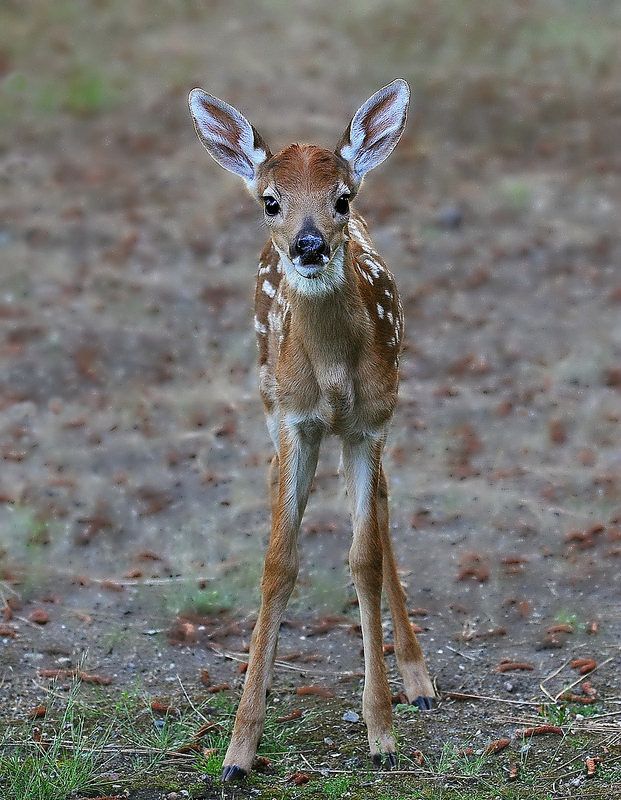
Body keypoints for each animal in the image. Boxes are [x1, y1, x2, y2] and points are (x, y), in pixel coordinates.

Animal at [188, 79, 435, 782]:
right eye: (271, 200)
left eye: (342, 198)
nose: (309, 245)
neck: (328, 374)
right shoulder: (296, 424)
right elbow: (277, 561)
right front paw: (238, 750)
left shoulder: (369, 424)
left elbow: (364, 556)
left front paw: (381, 733)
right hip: (270, 403)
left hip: (382, 412)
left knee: (382, 512)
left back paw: (418, 679)